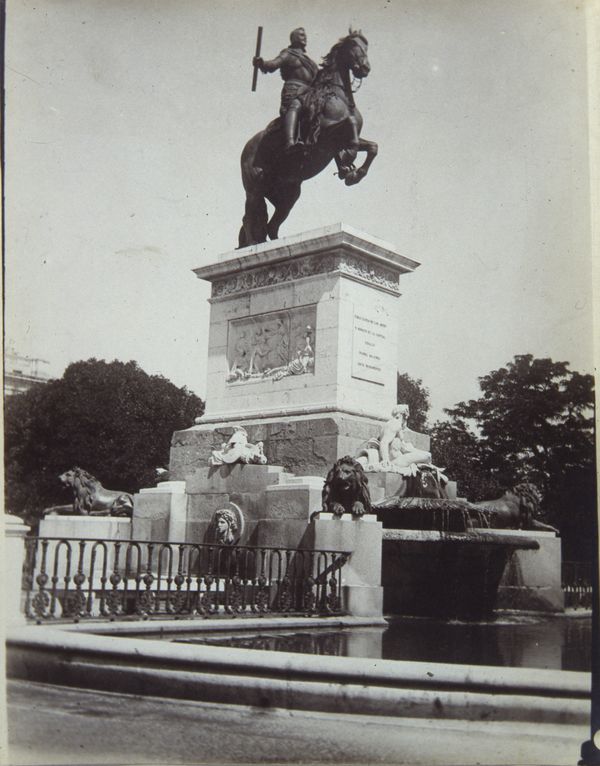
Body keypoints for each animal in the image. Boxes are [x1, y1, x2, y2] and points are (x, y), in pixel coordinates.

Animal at [238, 31, 376, 248]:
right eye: (354, 45)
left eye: (366, 46)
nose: (365, 68)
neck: (336, 95)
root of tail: (247, 147)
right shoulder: (324, 135)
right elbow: (351, 123)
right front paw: (349, 158)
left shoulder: (341, 140)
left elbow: (373, 147)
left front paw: (354, 172)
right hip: (254, 188)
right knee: (249, 216)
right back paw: (252, 245)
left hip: (288, 195)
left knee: (271, 224)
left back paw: (275, 242)